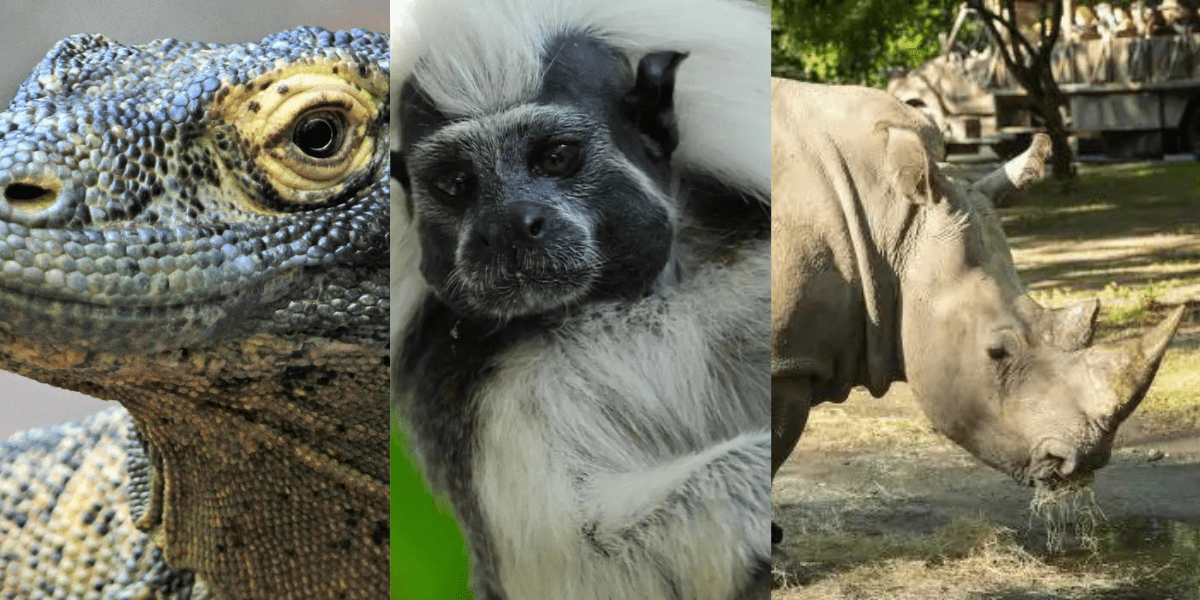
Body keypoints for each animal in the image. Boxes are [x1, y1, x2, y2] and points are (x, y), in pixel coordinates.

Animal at [391, 1, 770, 598]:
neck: (631, 307)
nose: (508, 228)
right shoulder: (487, 399)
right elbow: (572, 557)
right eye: (456, 183)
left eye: (556, 156)